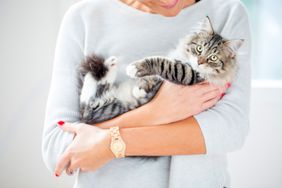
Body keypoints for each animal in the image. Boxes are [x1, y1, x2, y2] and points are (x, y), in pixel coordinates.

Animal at [77, 15, 245, 125]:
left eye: (213, 58)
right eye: (199, 48)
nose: (199, 62)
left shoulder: (189, 74)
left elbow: (162, 63)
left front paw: (136, 68)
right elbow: (149, 78)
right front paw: (139, 88)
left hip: (108, 107)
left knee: (87, 101)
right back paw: (111, 64)